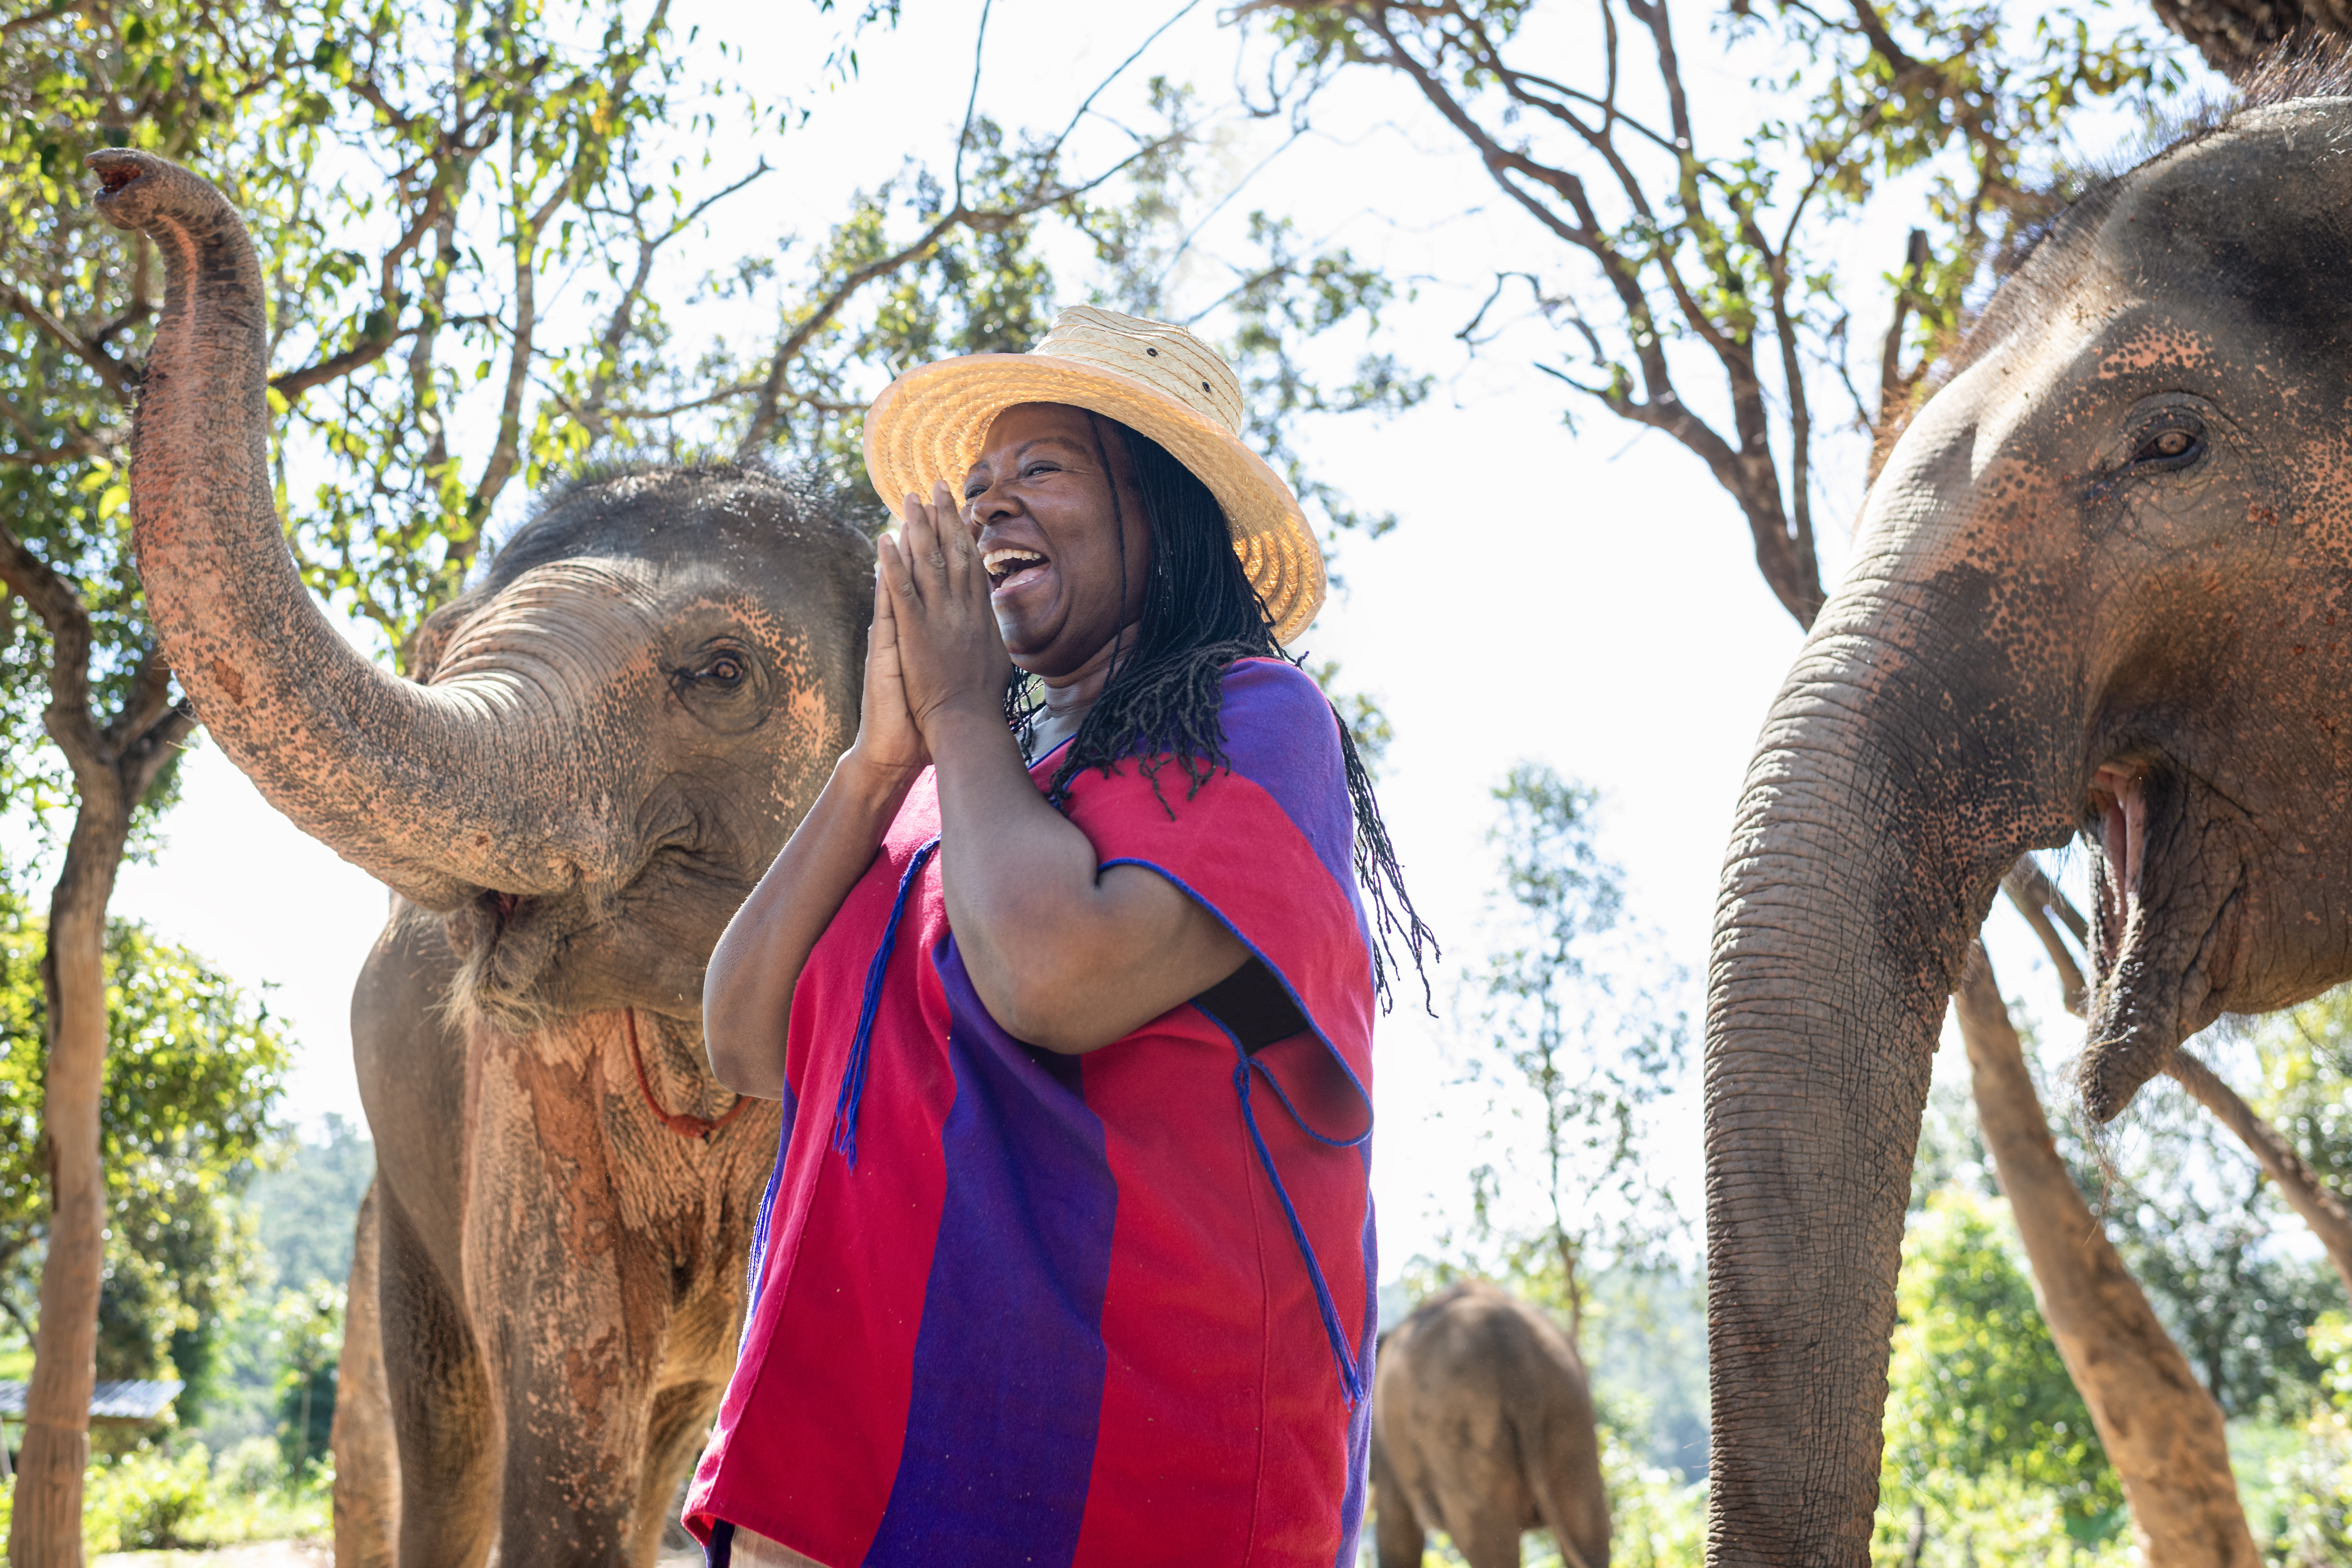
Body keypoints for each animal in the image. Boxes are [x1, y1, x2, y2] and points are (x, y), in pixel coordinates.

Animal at [86, 149, 873, 1564]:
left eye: (723, 672)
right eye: (442, 644)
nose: (120, 178)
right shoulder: (523, 1092)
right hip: (404, 1196)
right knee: (454, 1423)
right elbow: (565, 1397)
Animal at [1369, 1281, 1610, 1568]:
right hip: (1572, 1409)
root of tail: (1516, 1354)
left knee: (1486, 1544)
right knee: (1589, 1532)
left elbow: (1397, 1535)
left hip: (1463, 1428)